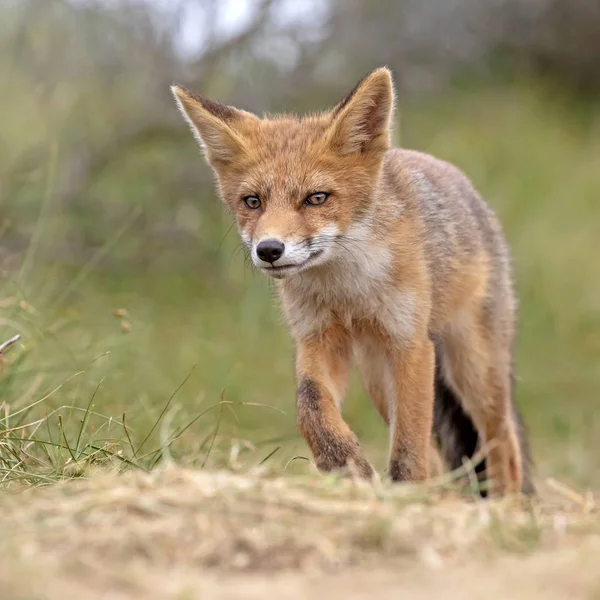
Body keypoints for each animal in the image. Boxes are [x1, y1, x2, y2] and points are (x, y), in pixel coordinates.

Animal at [172, 67, 536, 496]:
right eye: (252, 202)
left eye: (316, 198)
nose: (269, 249)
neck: (347, 291)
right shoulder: (319, 337)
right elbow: (310, 403)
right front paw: (344, 463)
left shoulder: (411, 344)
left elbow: (409, 445)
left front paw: (403, 491)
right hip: (379, 377)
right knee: (436, 452)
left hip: (474, 369)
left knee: (502, 441)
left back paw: (506, 504)